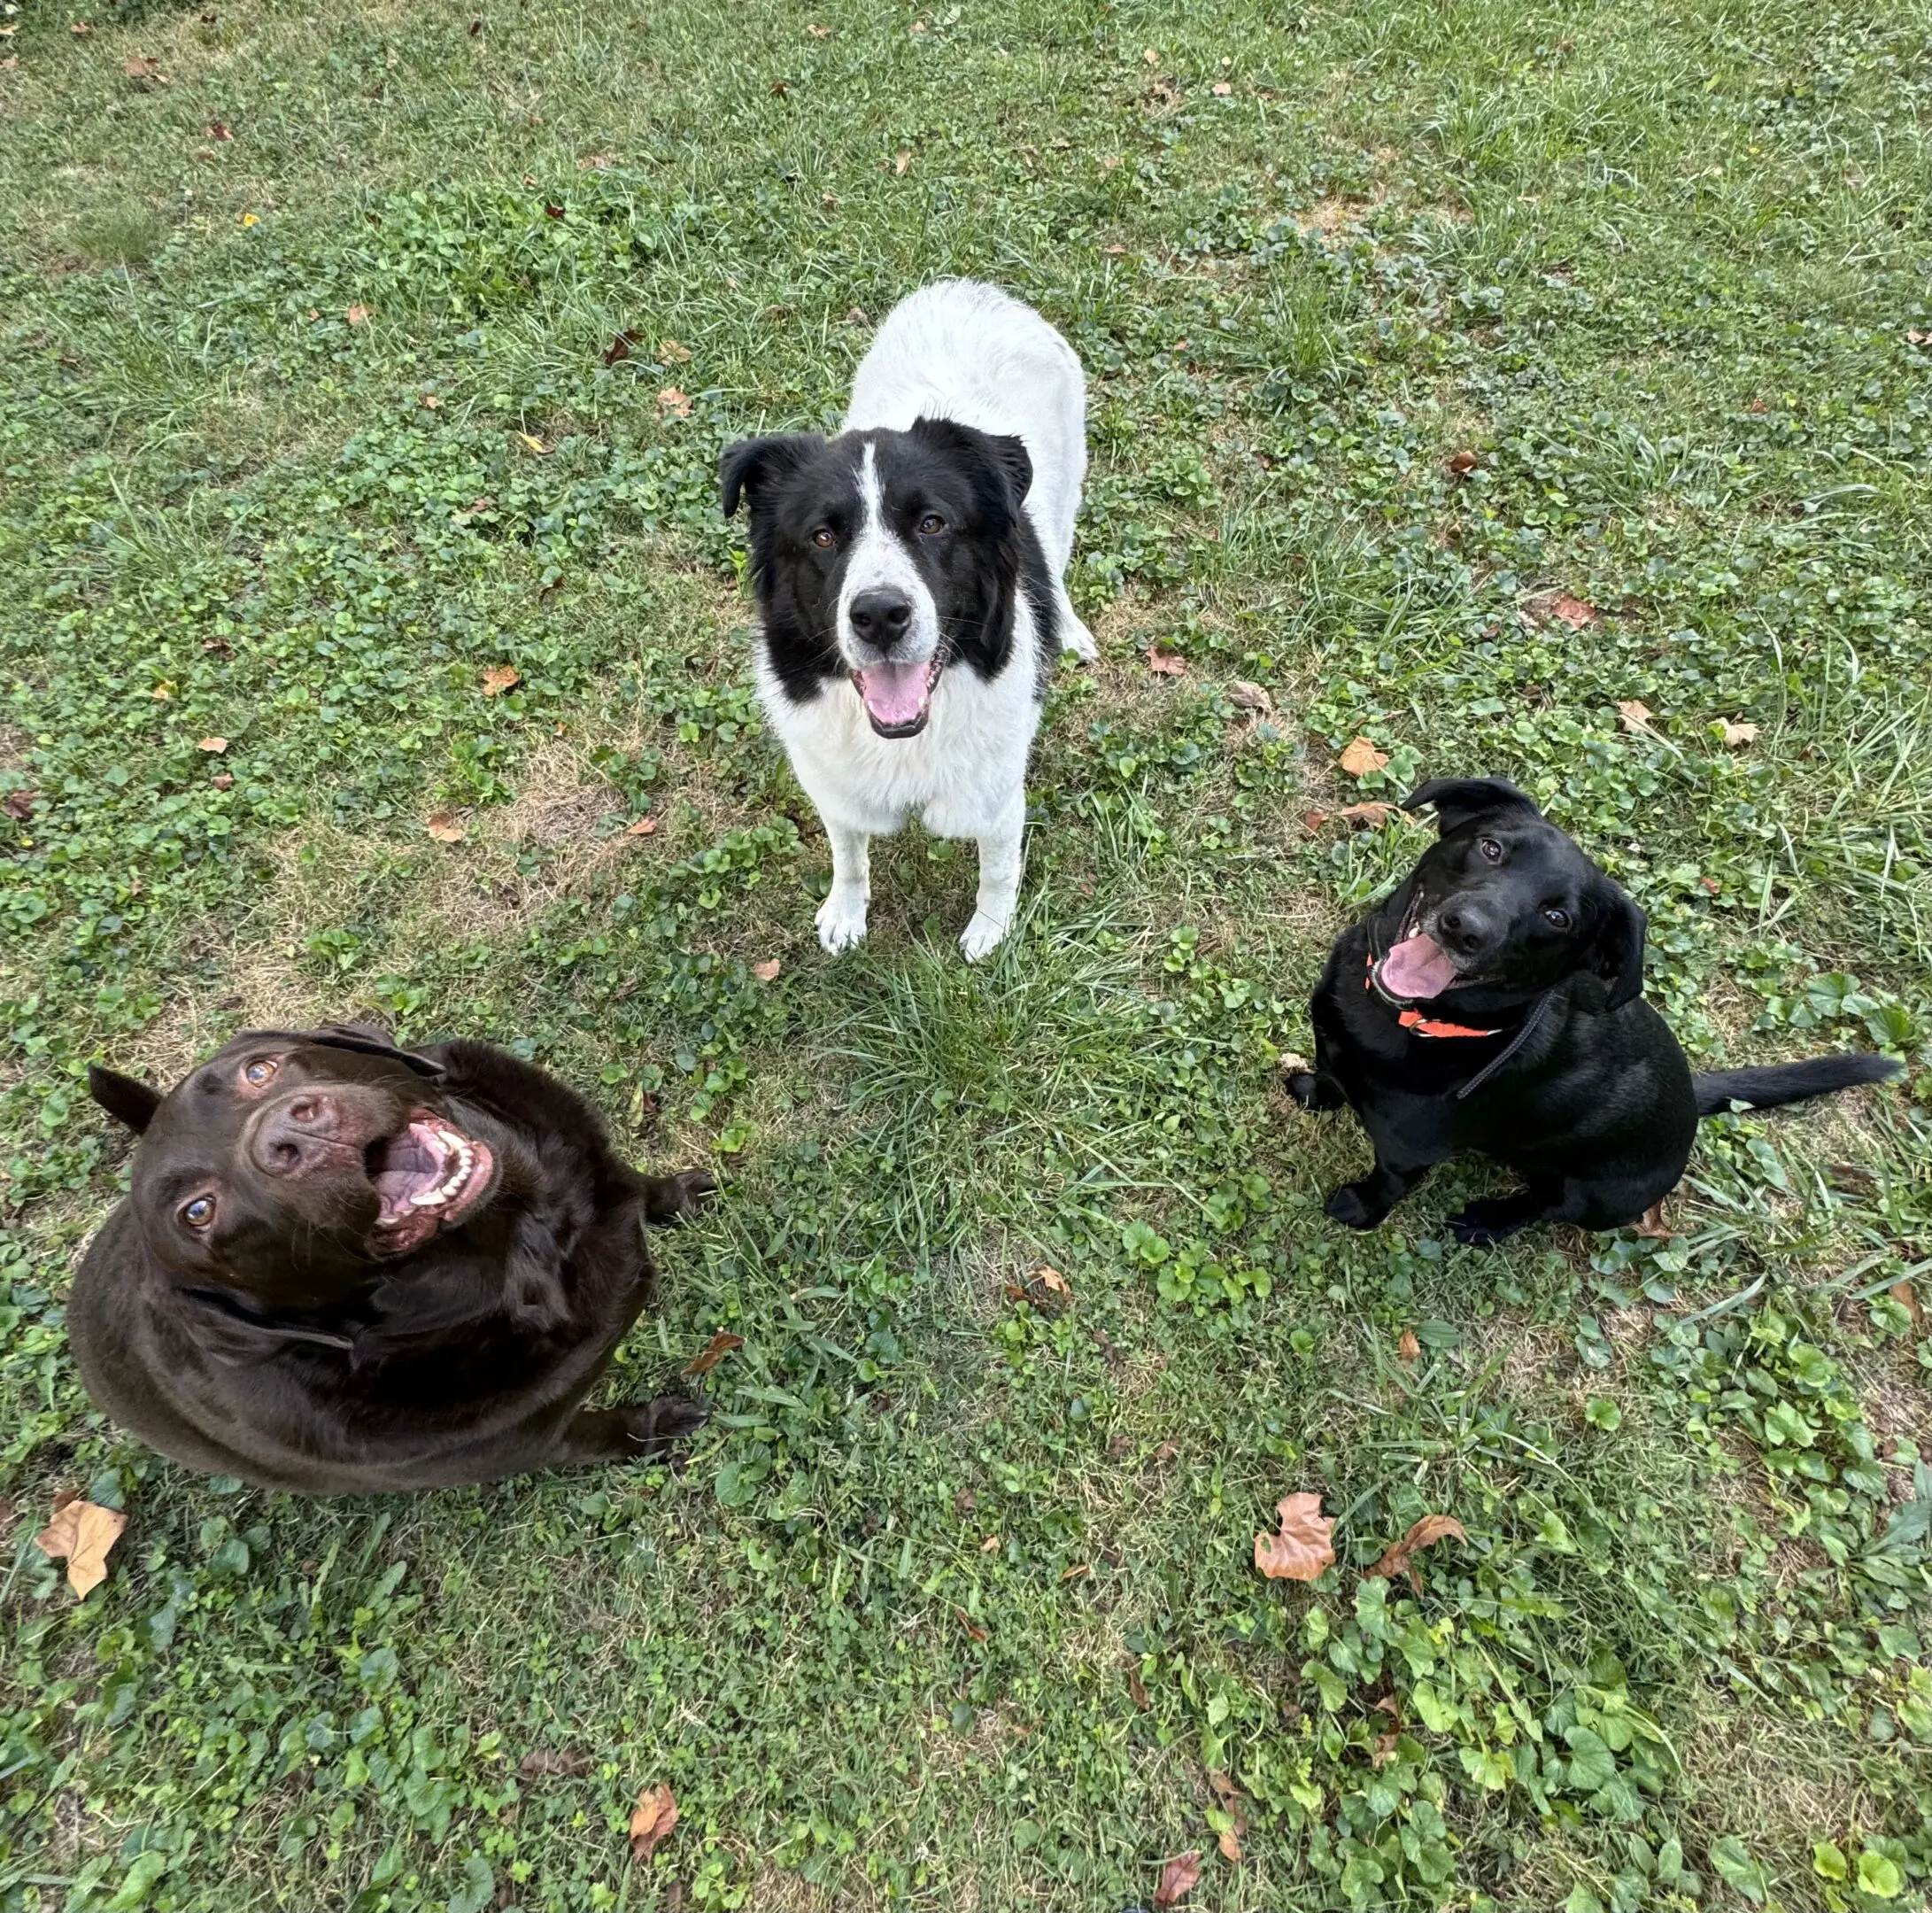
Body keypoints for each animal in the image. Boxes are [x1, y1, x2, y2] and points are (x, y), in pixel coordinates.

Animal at [723, 278, 1097, 958]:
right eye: (822, 536)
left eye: (932, 523)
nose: (879, 616)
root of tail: (971, 288)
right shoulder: (834, 787)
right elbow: (848, 855)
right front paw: (846, 914)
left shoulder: (998, 794)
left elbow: (997, 869)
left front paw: (990, 932)